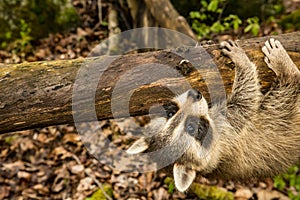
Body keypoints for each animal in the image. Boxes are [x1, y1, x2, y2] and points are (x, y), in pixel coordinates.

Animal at [126, 38, 300, 192]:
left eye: (171, 112)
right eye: (191, 128)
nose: (195, 94)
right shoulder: (227, 132)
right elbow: (246, 100)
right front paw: (242, 61)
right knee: (284, 96)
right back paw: (287, 70)